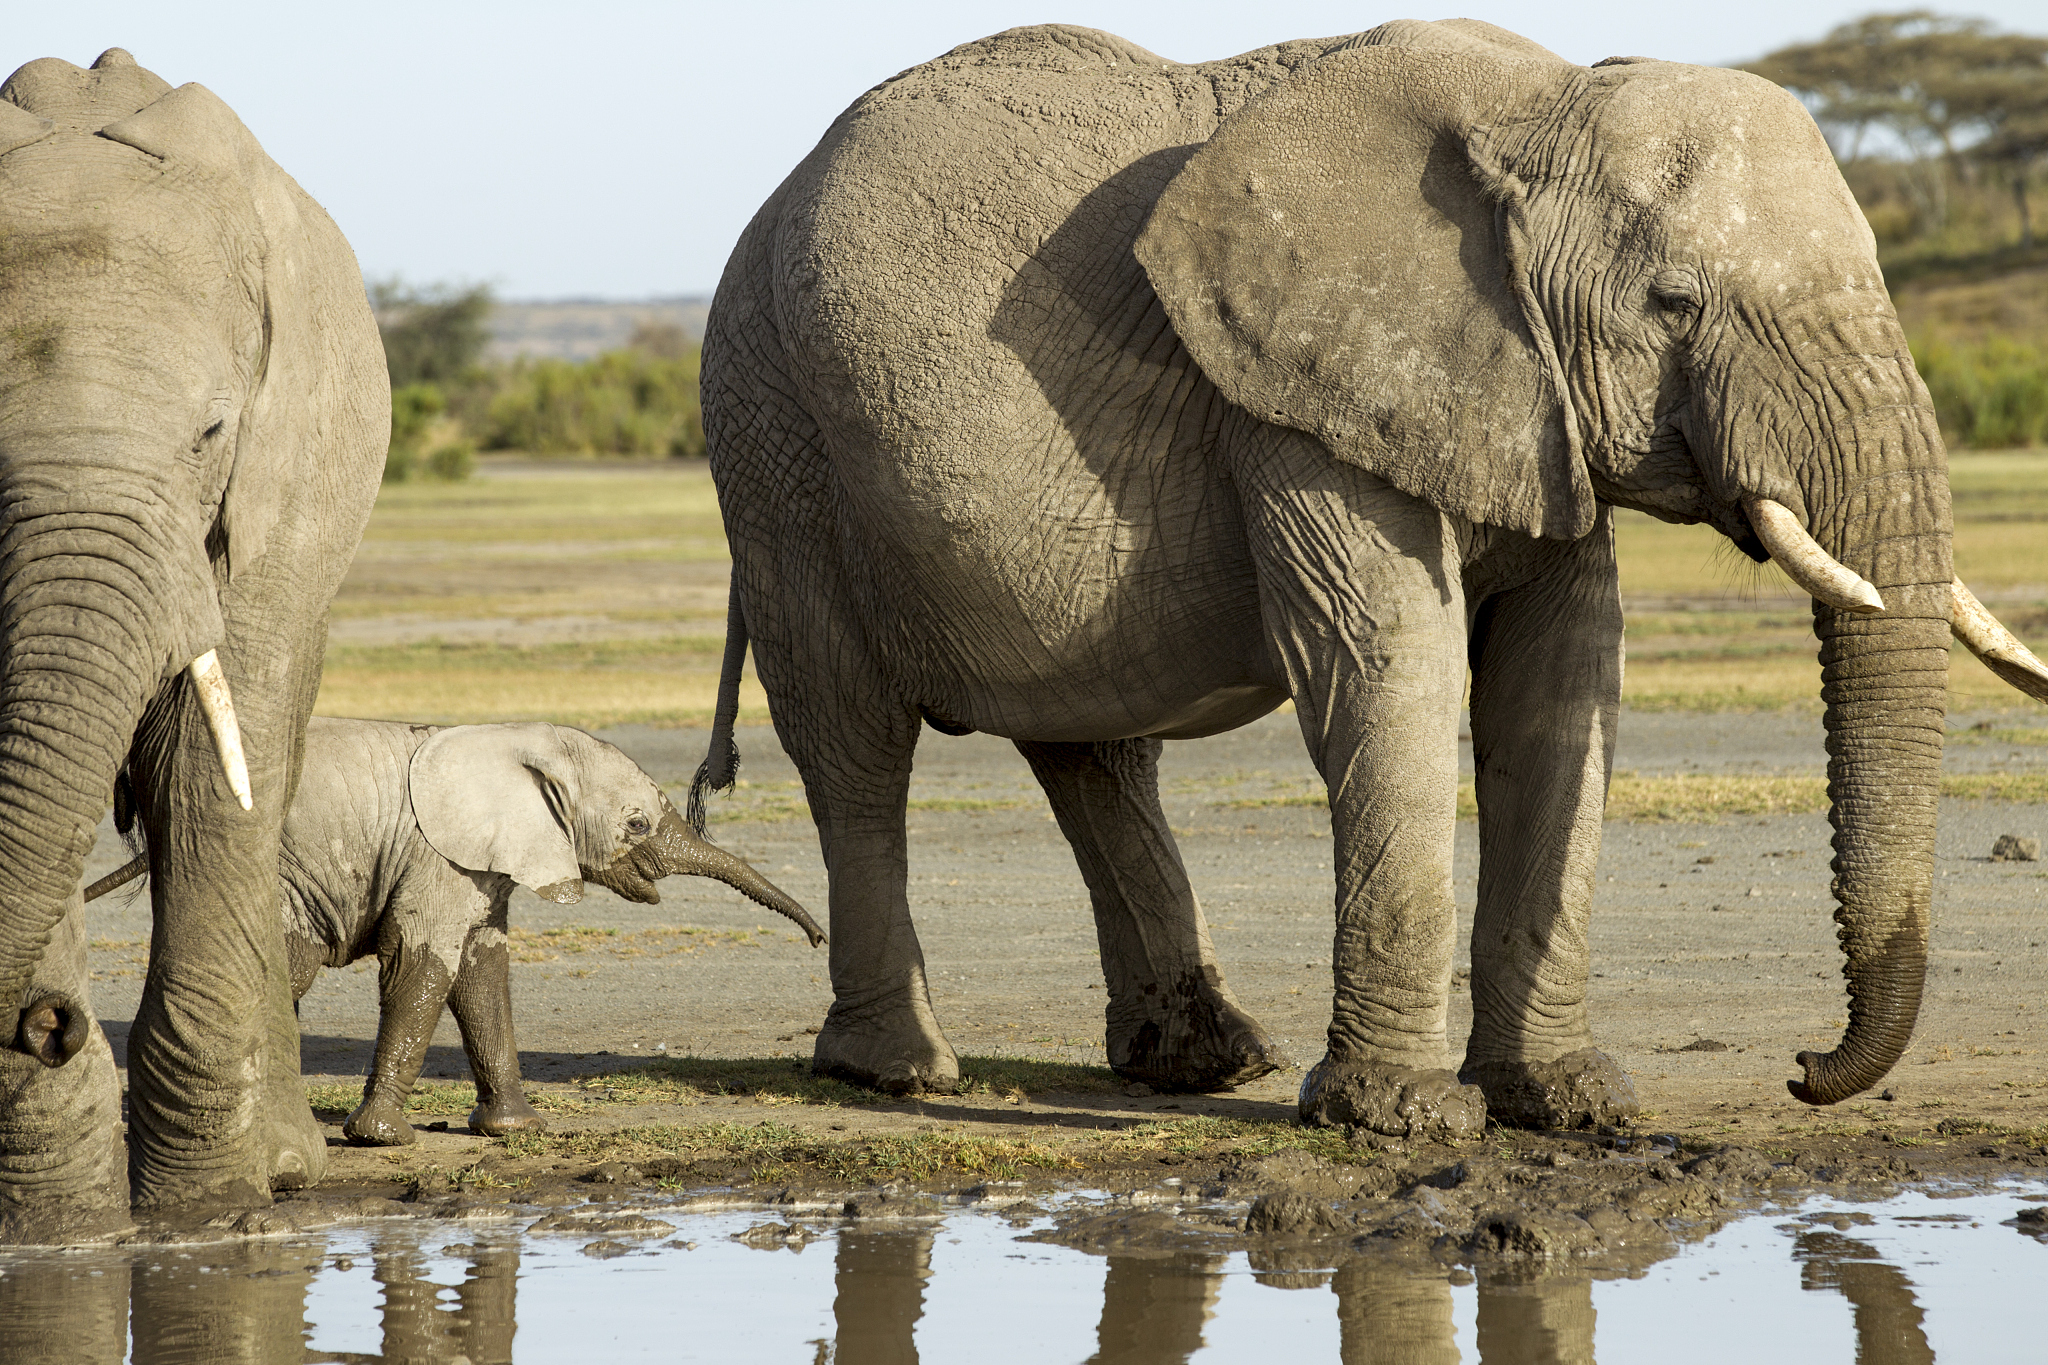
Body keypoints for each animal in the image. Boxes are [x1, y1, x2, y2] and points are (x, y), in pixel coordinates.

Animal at [0, 50, 387, 1234]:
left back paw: (284, 1165)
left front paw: (204, 1218)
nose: (46, 1023)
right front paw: (61, 1227)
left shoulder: (271, 490)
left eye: (210, 434)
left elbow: (206, 775)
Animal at [90, 718, 824, 1147]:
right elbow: (422, 967)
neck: (522, 741)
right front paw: (383, 1138)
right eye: (638, 823)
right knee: (287, 966)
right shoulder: (434, 856)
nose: (818, 941)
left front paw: (515, 1128)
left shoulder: (478, 862)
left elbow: (483, 972)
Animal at [694, 19, 2048, 1133]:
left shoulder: (1516, 398)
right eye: (1672, 302)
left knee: (1094, 747)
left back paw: (1204, 1064)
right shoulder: (1294, 392)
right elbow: (1389, 665)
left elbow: (1560, 687)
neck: (1536, 107)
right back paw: (897, 1072)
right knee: (853, 743)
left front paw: (1568, 1104)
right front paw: (1401, 1121)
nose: (1802, 1069)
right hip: (775, 443)